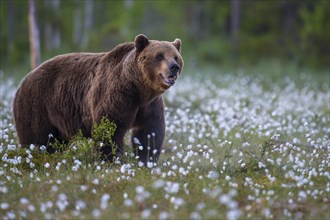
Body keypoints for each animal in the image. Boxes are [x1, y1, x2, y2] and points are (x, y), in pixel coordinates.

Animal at [13, 34, 183, 165]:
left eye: (176, 57)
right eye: (159, 56)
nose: (174, 67)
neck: (138, 88)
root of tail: (24, 79)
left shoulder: (149, 104)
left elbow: (149, 131)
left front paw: (146, 161)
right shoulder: (117, 95)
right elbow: (110, 128)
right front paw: (110, 160)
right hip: (37, 104)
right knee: (36, 139)